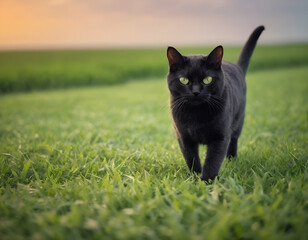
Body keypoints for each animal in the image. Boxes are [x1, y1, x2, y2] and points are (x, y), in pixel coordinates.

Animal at [167, 25, 264, 181]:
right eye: (183, 80)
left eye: (207, 79)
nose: (196, 92)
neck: (196, 114)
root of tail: (237, 66)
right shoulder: (183, 137)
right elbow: (191, 159)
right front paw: (194, 178)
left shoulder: (220, 137)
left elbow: (213, 161)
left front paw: (207, 181)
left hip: (238, 122)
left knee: (233, 142)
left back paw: (232, 161)